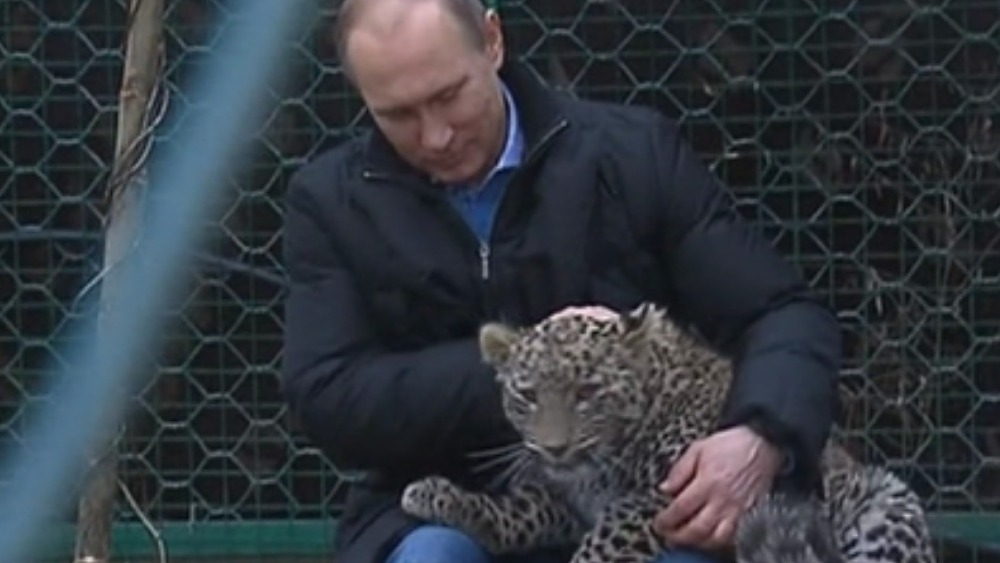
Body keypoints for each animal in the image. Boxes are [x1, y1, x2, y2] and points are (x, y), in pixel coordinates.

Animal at [401, 303, 937, 563]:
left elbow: (601, 546)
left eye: (587, 391)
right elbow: (514, 515)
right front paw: (435, 495)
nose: (555, 448)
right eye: (528, 396)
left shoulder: (668, 495)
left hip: (885, 507)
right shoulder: (566, 502)